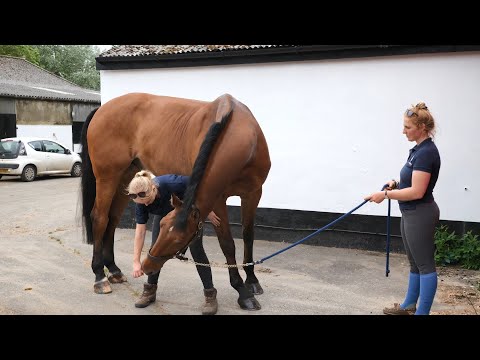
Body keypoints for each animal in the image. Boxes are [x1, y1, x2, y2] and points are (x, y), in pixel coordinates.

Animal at [80, 92, 272, 310]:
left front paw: (252, 280)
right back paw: (99, 276)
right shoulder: (218, 199)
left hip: (125, 177)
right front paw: (242, 291)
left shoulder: (253, 193)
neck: (240, 131)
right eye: (162, 227)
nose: (147, 265)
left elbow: (248, 236)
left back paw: (113, 270)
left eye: (178, 239)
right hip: (107, 177)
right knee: (100, 218)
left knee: (112, 220)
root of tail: (101, 109)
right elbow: (227, 244)